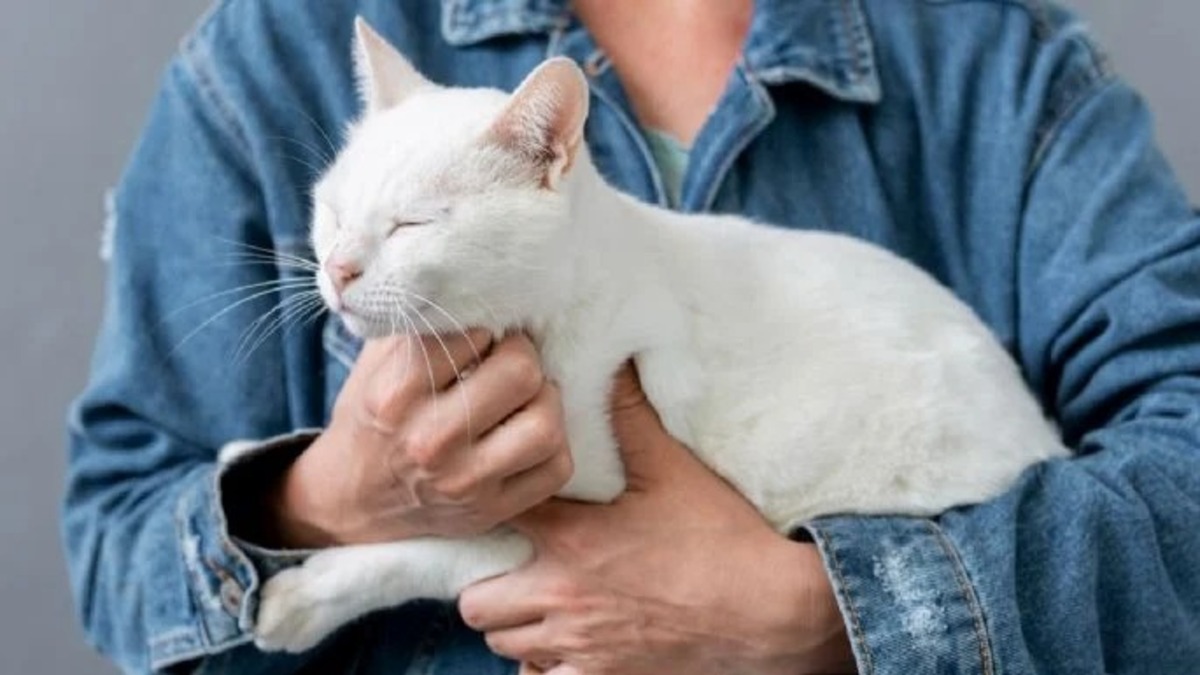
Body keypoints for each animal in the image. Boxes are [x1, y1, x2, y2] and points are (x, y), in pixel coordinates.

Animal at [250, 21, 1070, 648]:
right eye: (333, 211)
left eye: (411, 225)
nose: (338, 270)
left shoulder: (580, 505)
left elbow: (437, 546)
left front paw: (304, 597)